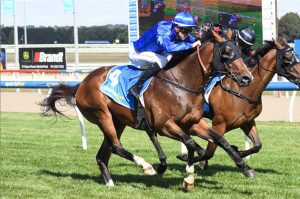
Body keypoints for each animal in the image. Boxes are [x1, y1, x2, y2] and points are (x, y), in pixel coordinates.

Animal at [39, 29, 253, 190]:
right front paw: (188, 176)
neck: (181, 83)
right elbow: (190, 143)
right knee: (116, 146)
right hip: (102, 115)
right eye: (226, 52)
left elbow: (220, 140)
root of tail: (82, 83)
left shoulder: (194, 122)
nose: (247, 78)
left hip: (118, 121)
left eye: (240, 52)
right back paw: (146, 166)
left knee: (103, 155)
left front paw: (245, 167)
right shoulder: (164, 125)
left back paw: (110, 183)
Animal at [179, 38, 300, 174]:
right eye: (287, 57)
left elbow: (257, 145)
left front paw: (239, 152)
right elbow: (210, 151)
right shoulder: (219, 124)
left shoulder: (247, 121)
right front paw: (191, 159)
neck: (243, 91)